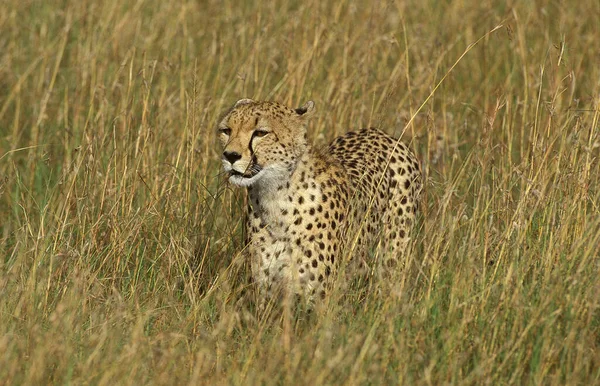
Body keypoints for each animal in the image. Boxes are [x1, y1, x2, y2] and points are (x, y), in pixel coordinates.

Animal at [217, 99, 422, 308]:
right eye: (226, 130)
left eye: (260, 132)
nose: (230, 155)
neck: (275, 198)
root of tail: (379, 133)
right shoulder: (264, 295)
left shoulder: (316, 301)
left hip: (391, 262)